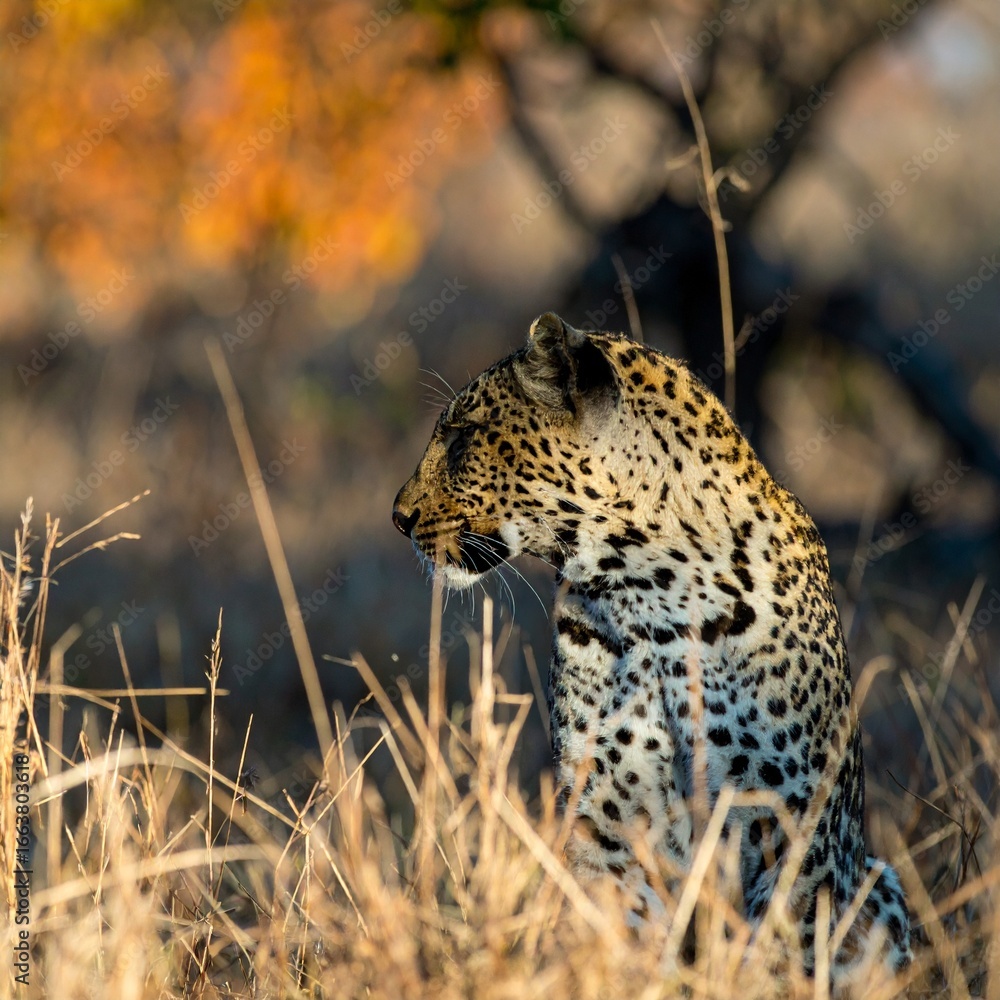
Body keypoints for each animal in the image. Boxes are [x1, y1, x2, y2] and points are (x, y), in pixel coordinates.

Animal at [392, 312, 911, 983]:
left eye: (462, 439)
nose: (398, 517)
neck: (648, 591)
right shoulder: (606, 824)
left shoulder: (793, 830)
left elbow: (775, 958)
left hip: (882, 884)